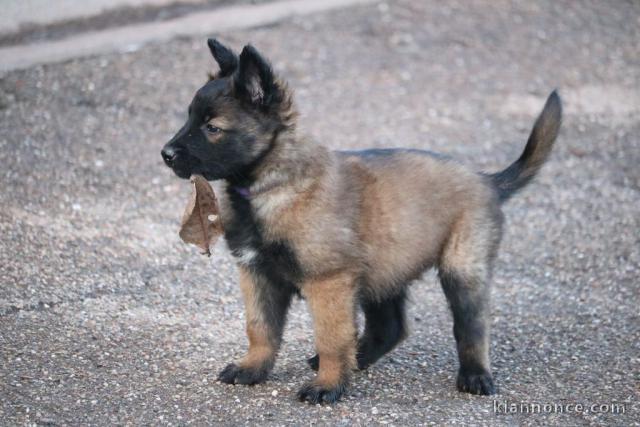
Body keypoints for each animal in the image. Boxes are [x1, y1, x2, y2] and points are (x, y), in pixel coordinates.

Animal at [160, 39, 560, 404]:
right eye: (189, 117)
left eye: (212, 128)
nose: (165, 154)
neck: (272, 184)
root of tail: (486, 179)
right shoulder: (256, 273)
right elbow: (260, 328)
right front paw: (253, 368)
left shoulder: (329, 281)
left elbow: (331, 336)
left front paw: (327, 385)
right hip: (384, 267)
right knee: (390, 327)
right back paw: (358, 359)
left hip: (462, 268)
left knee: (472, 325)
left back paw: (475, 375)